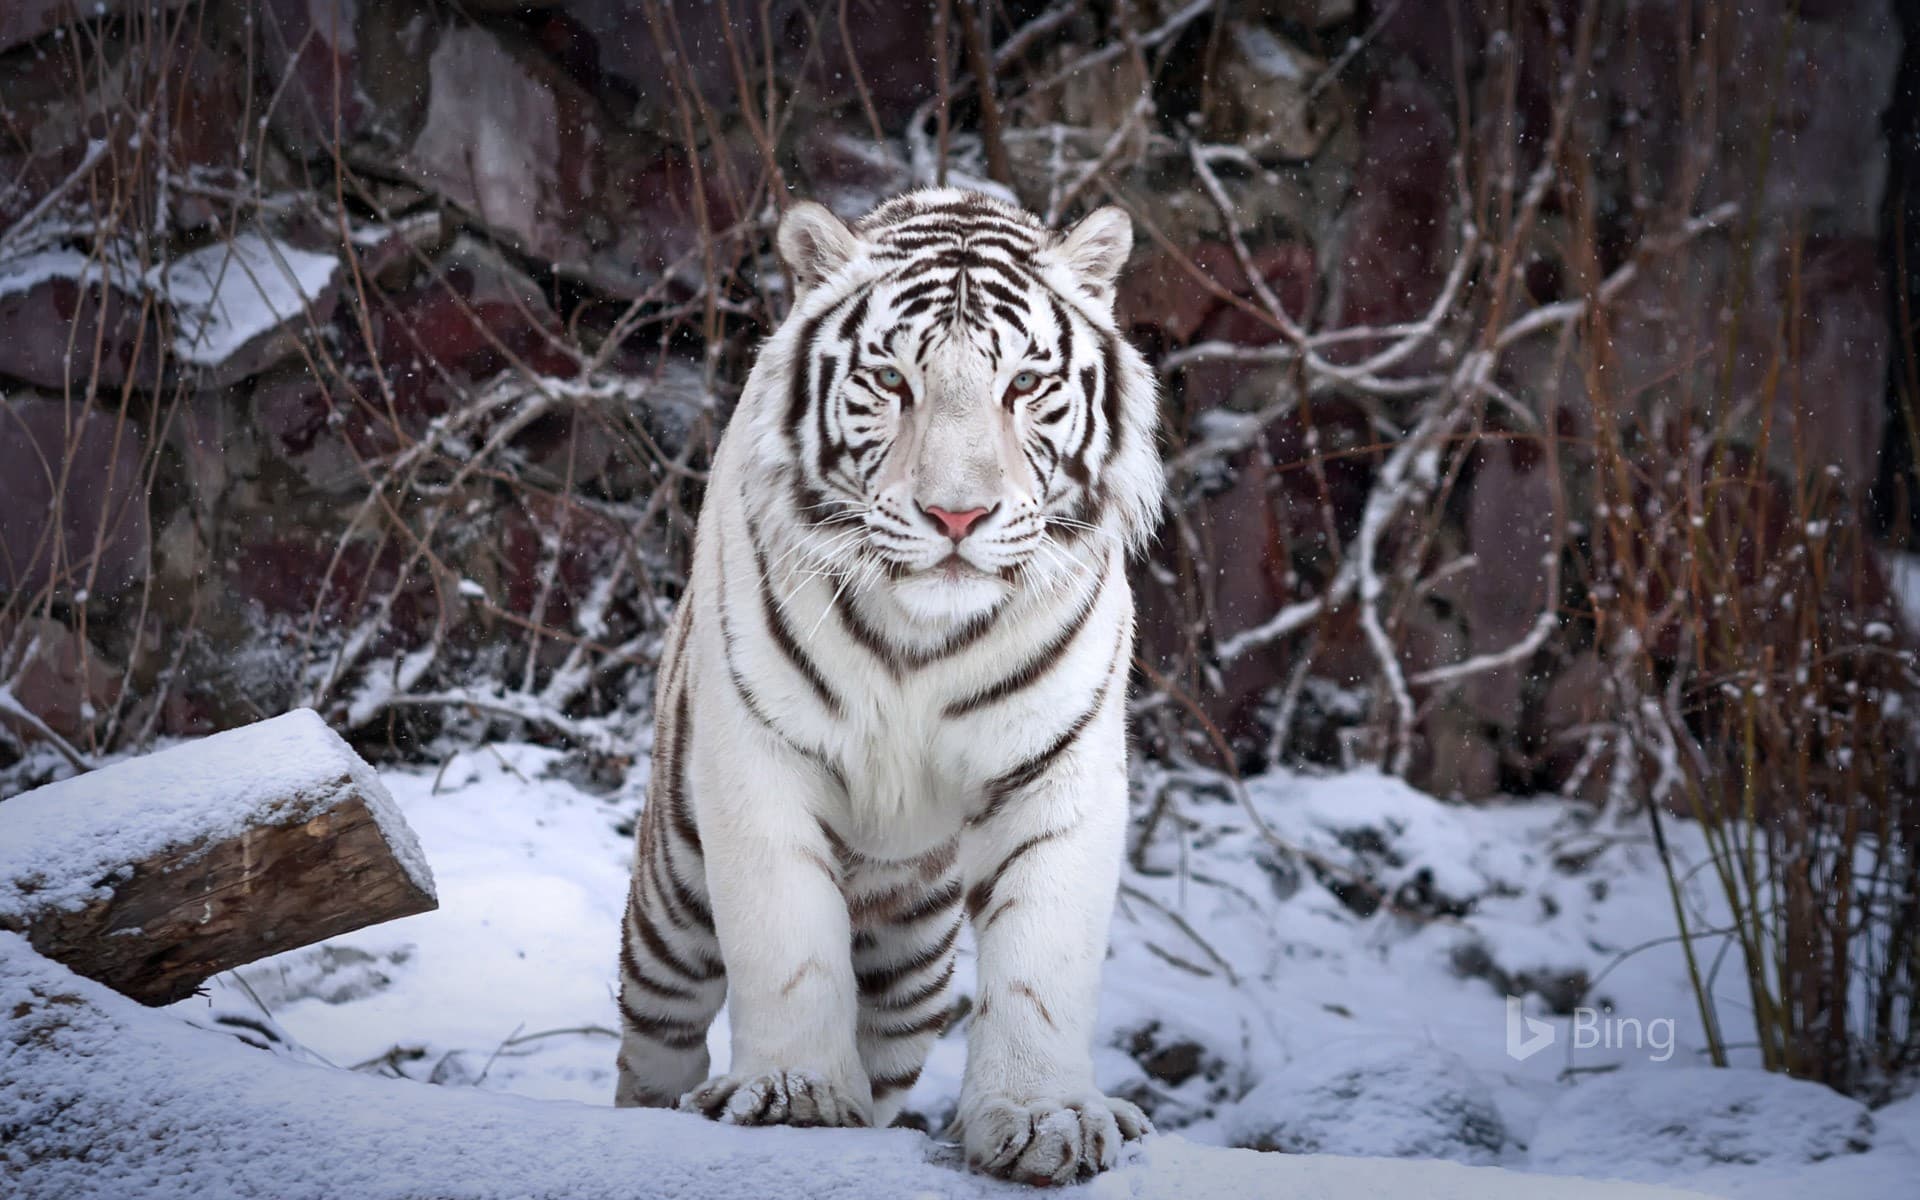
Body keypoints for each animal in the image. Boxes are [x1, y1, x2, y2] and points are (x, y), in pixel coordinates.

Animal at [612, 187, 1164, 1185]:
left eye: (1024, 385)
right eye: (892, 382)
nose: (957, 515)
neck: (922, 637)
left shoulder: (1059, 772)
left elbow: (1042, 966)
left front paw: (1047, 1117)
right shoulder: (757, 760)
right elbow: (788, 942)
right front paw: (790, 1095)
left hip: (912, 974)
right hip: (671, 904)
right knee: (653, 1046)